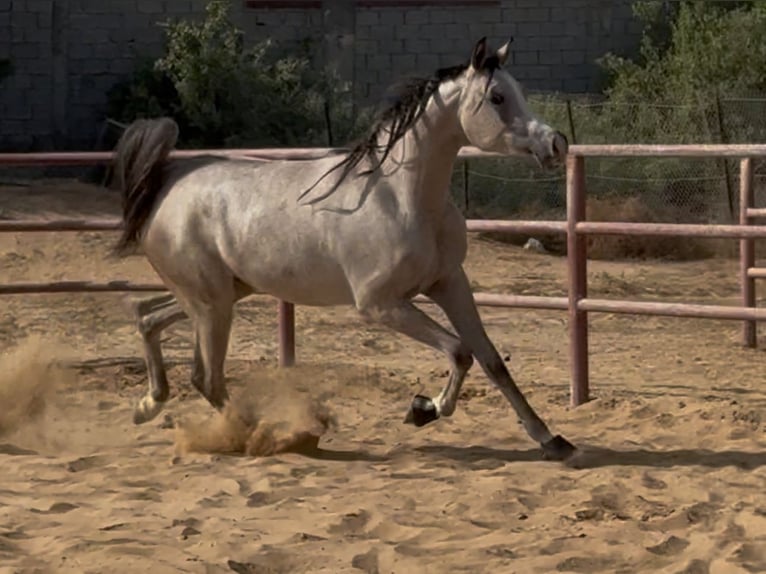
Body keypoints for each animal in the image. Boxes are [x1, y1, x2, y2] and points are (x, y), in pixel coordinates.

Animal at [111, 37, 576, 461]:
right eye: (497, 97)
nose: (557, 144)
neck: (400, 196)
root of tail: (167, 183)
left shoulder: (448, 282)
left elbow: (491, 359)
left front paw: (553, 440)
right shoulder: (380, 304)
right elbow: (460, 351)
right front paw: (422, 409)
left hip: (221, 294)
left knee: (148, 318)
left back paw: (149, 404)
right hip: (212, 304)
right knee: (207, 377)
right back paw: (280, 437)